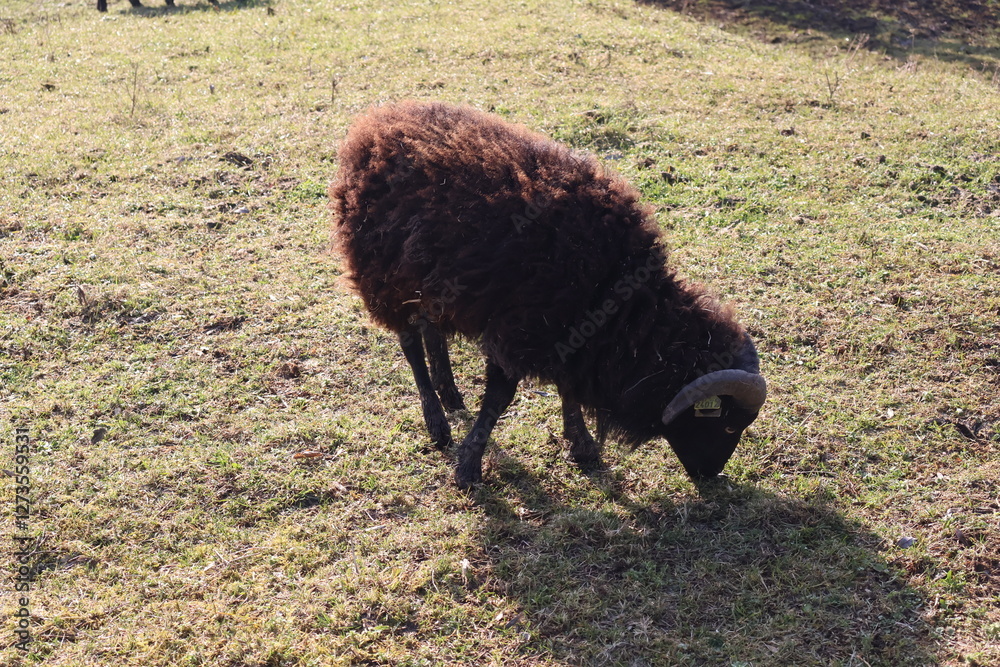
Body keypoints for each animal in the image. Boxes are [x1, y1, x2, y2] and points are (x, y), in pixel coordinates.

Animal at [330, 100, 767, 489]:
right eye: (726, 423)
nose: (711, 476)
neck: (619, 300)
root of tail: (375, 121)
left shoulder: (568, 332)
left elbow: (566, 385)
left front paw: (582, 445)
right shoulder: (520, 328)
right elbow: (500, 398)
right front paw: (469, 467)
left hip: (427, 278)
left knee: (430, 326)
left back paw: (449, 391)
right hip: (381, 273)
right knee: (409, 343)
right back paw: (436, 421)